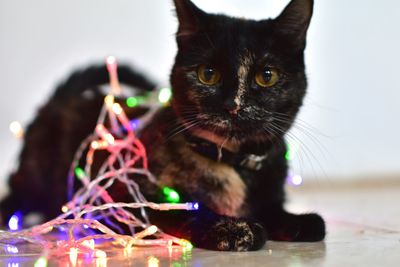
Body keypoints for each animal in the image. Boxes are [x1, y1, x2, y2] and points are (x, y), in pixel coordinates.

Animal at [0, 0, 324, 252]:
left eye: (266, 76)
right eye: (208, 74)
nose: (234, 105)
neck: (232, 163)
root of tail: (59, 100)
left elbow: (287, 214)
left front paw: (298, 220)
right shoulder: (120, 199)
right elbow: (184, 212)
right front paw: (233, 229)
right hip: (36, 178)